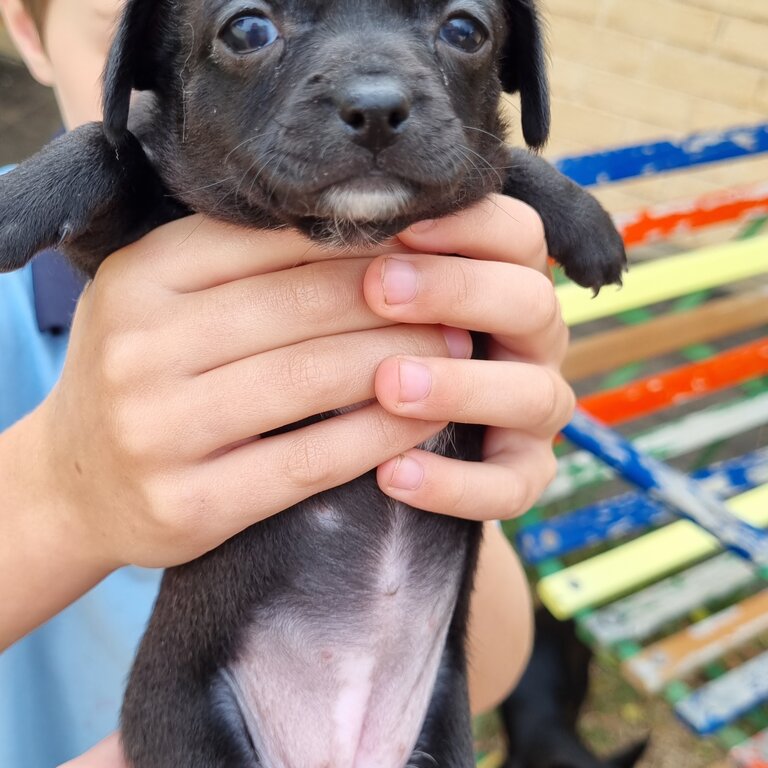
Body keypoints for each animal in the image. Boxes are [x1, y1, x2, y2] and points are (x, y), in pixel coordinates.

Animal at [0, 1, 628, 768]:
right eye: (246, 30)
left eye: (465, 30)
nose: (377, 107)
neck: (349, 239)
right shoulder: (124, 240)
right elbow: (107, 144)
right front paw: (18, 199)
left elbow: (502, 163)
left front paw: (585, 221)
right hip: (193, 735)